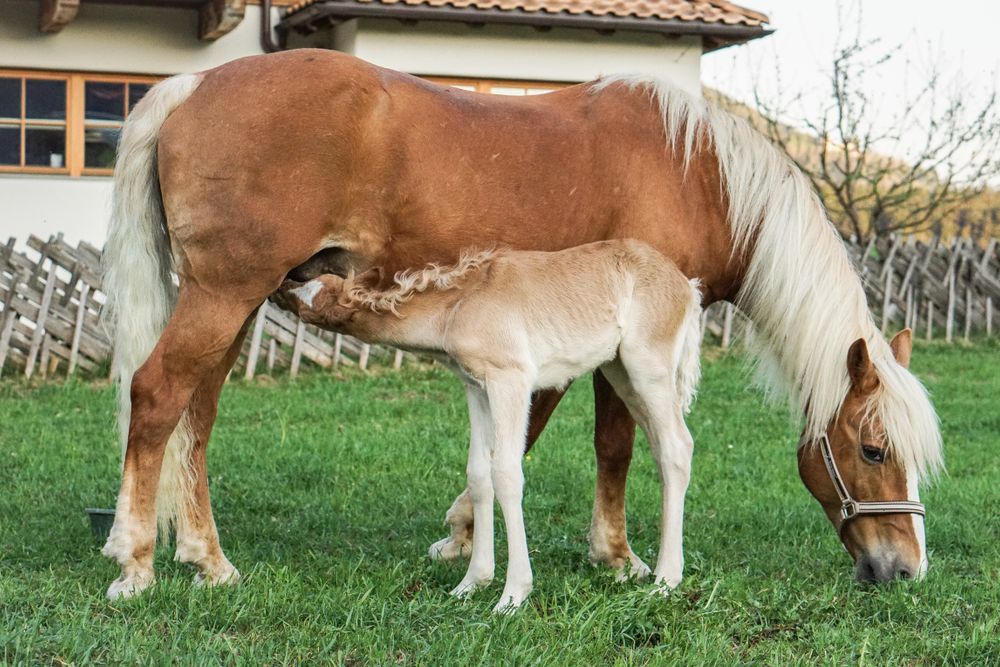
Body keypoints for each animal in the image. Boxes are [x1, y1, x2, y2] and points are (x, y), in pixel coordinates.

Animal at [274, 237, 704, 612]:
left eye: (312, 292)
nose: (282, 282)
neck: (457, 306)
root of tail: (687, 286)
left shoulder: (510, 380)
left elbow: (506, 473)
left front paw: (512, 597)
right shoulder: (476, 387)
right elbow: (479, 473)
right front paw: (471, 583)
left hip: (648, 366)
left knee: (677, 447)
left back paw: (666, 581)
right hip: (620, 371)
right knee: (662, 448)